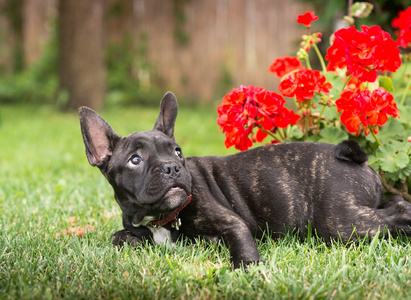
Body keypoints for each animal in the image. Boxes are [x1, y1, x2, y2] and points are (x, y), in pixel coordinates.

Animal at [79, 92, 411, 270]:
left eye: (177, 152)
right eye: (135, 160)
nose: (172, 167)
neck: (162, 218)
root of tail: (358, 160)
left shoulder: (232, 223)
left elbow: (240, 243)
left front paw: (248, 270)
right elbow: (120, 236)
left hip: (340, 222)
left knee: (396, 213)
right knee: (394, 201)